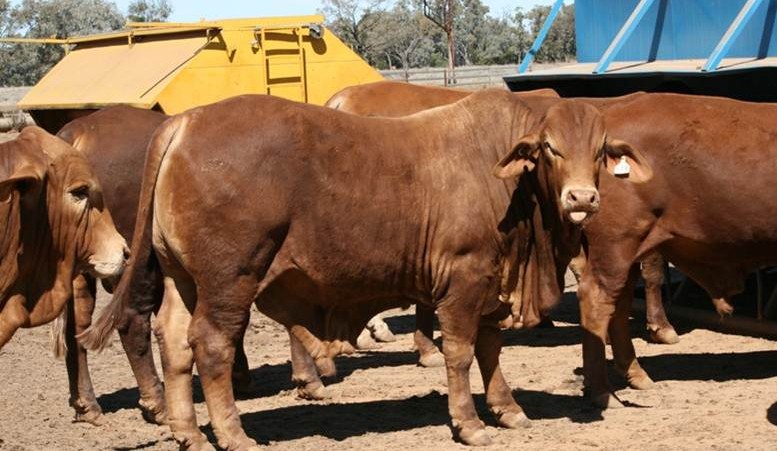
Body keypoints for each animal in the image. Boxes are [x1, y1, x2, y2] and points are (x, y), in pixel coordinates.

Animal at [80, 90, 651, 448]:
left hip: (182, 278)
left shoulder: (492, 280)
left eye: (600, 150)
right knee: (211, 346)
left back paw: (190, 433)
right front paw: (469, 423)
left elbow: (491, 349)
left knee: (173, 341)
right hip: (229, 280)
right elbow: (461, 353)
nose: (583, 198)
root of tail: (186, 121)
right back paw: (233, 435)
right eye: (551, 148)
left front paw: (508, 409)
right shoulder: (463, 279)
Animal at [575, 92, 777, 408]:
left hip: (629, 249)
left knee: (619, 303)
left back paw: (637, 376)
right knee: (596, 301)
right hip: (615, 241)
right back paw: (602, 392)